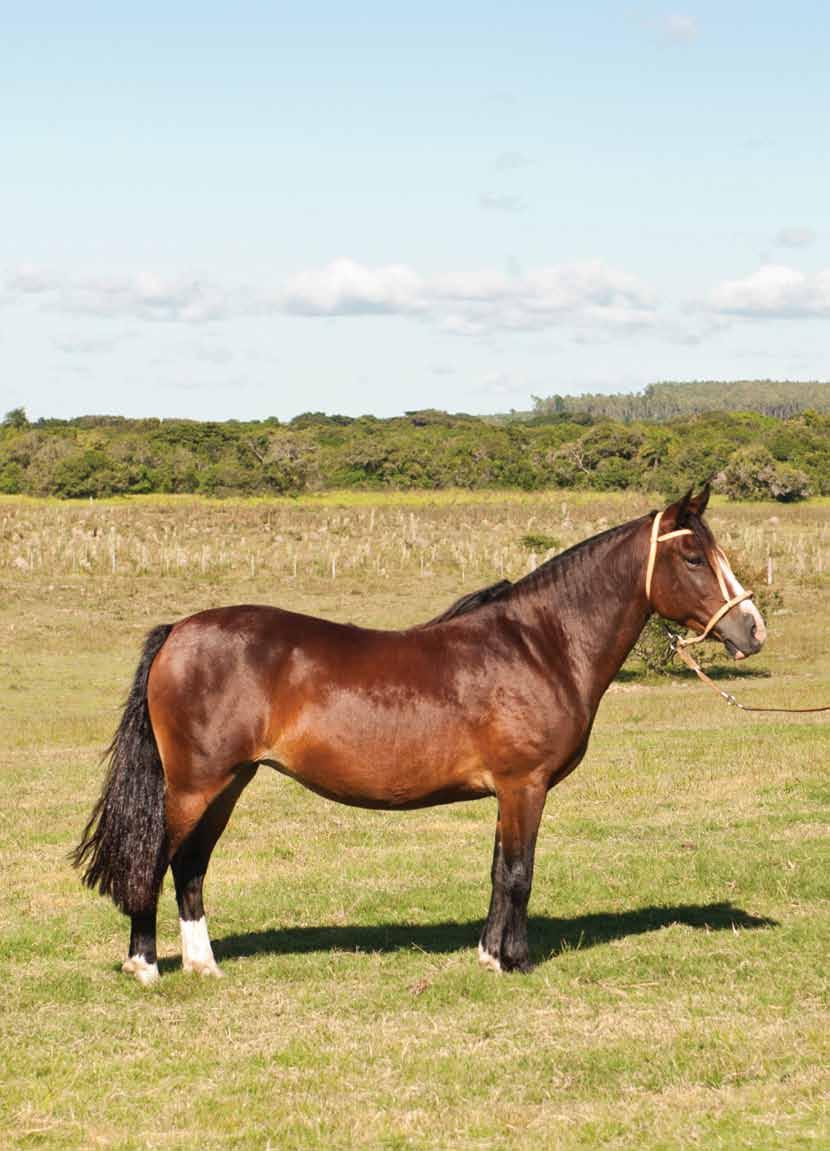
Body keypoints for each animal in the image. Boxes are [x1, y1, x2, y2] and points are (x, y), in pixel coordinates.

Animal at [72, 481, 764, 985]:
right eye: (694, 557)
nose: (752, 629)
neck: (541, 644)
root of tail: (179, 631)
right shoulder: (525, 786)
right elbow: (519, 872)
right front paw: (515, 962)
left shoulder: (509, 792)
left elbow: (498, 870)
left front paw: (489, 954)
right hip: (195, 784)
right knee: (155, 859)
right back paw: (145, 965)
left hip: (229, 782)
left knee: (190, 865)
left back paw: (203, 965)